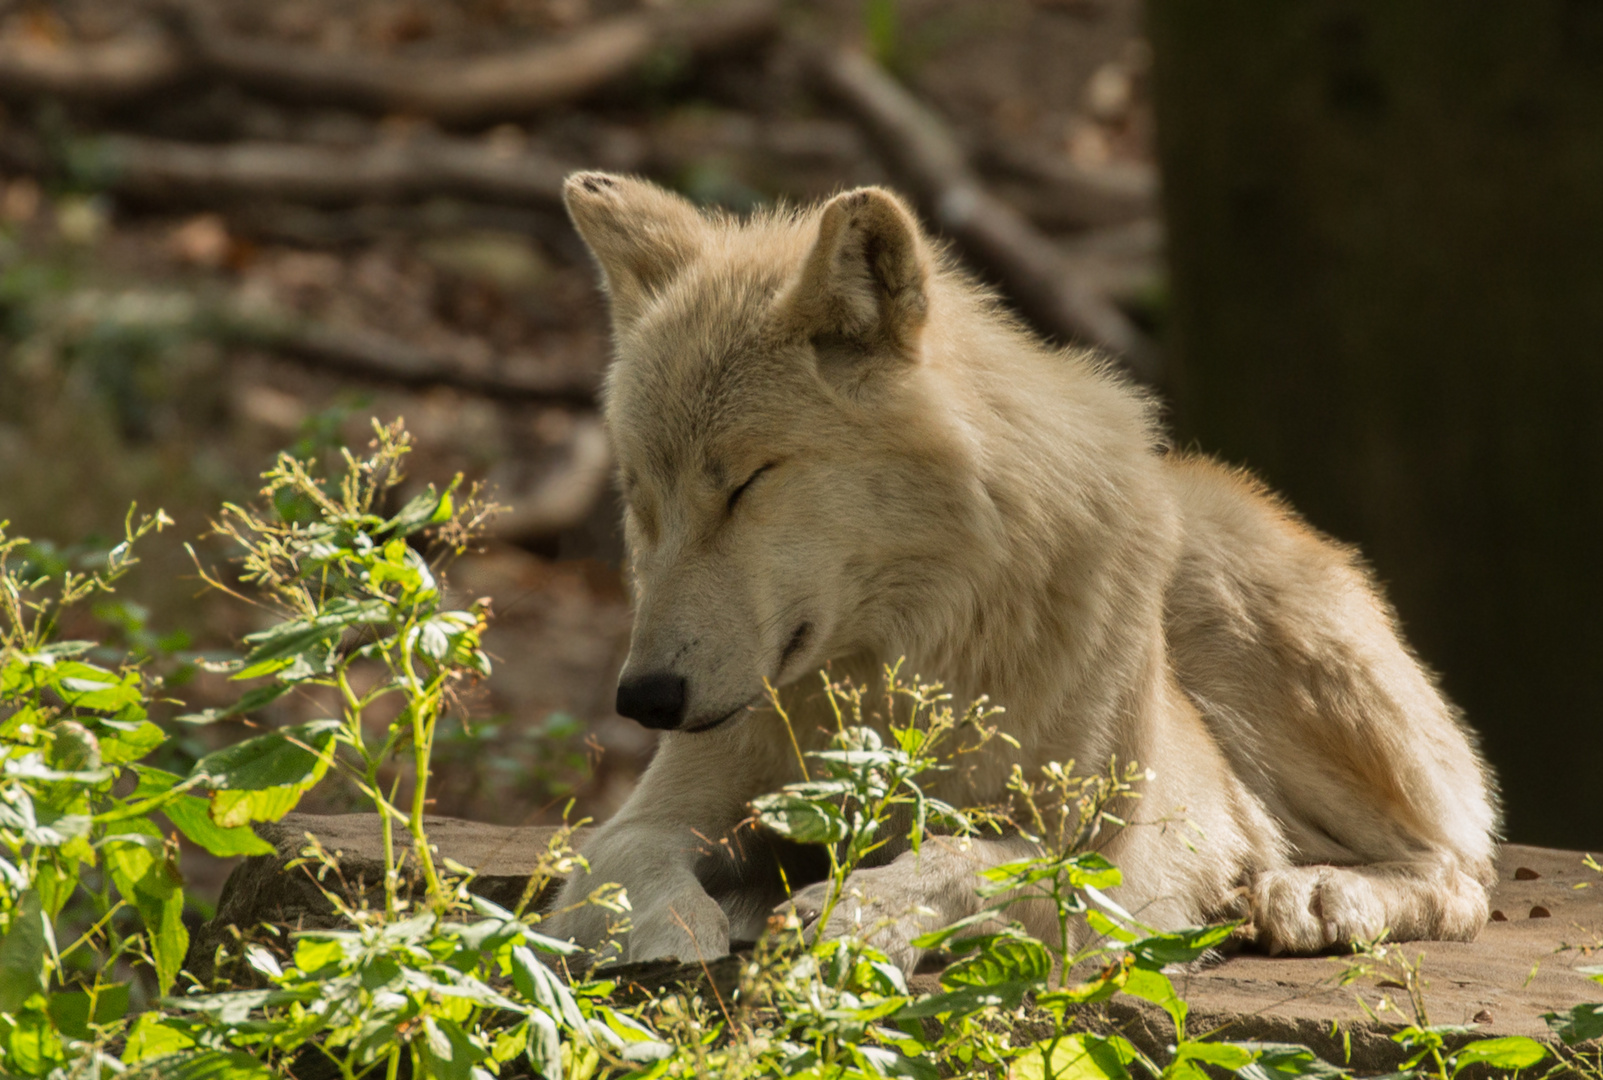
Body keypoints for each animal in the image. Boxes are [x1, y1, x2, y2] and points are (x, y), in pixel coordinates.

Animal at [545, 170, 1493, 967]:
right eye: (641, 497)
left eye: (746, 484)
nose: (644, 699)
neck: (902, 663)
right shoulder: (651, 818)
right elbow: (620, 871)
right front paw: (679, 934)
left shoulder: (1093, 856)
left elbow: (953, 856)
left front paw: (847, 912)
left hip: (1238, 599)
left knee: (1457, 871)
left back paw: (1312, 893)